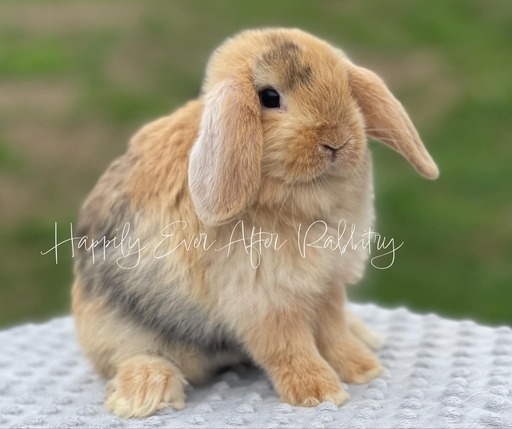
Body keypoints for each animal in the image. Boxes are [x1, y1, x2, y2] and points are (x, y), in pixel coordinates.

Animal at [72, 27, 440, 418]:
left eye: (346, 86)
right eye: (269, 97)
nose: (336, 141)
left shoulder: (326, 285)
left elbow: (333, 330)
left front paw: (363, 369)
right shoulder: (264, 298)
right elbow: (288, 346)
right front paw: (320, 392)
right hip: (120, 327)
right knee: (132, 357)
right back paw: (144, 392)